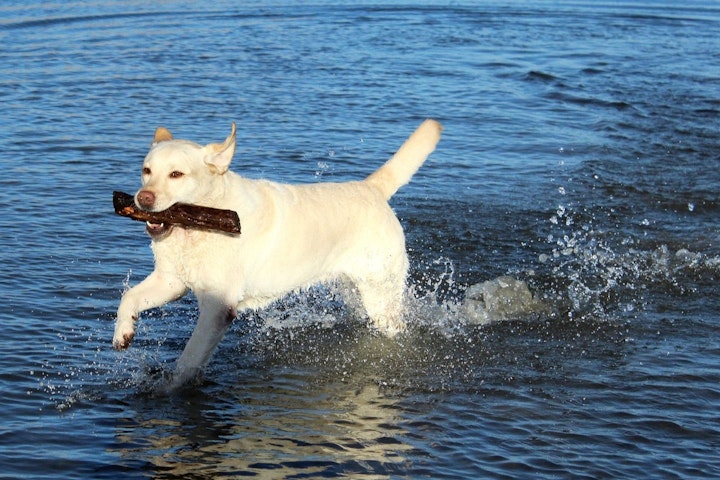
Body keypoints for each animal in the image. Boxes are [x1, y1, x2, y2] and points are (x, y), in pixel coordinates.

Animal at [112, 119, 442, 386]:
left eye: (176, 174)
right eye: (146, 171)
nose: (143, 198)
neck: (196, 227)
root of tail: (371, 189)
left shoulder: (218, 307)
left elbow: (190, 357)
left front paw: (169, 388)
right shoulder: (171, 281)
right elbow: (129, 297)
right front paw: (123, 332)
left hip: (379, 293)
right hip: (354, 289)